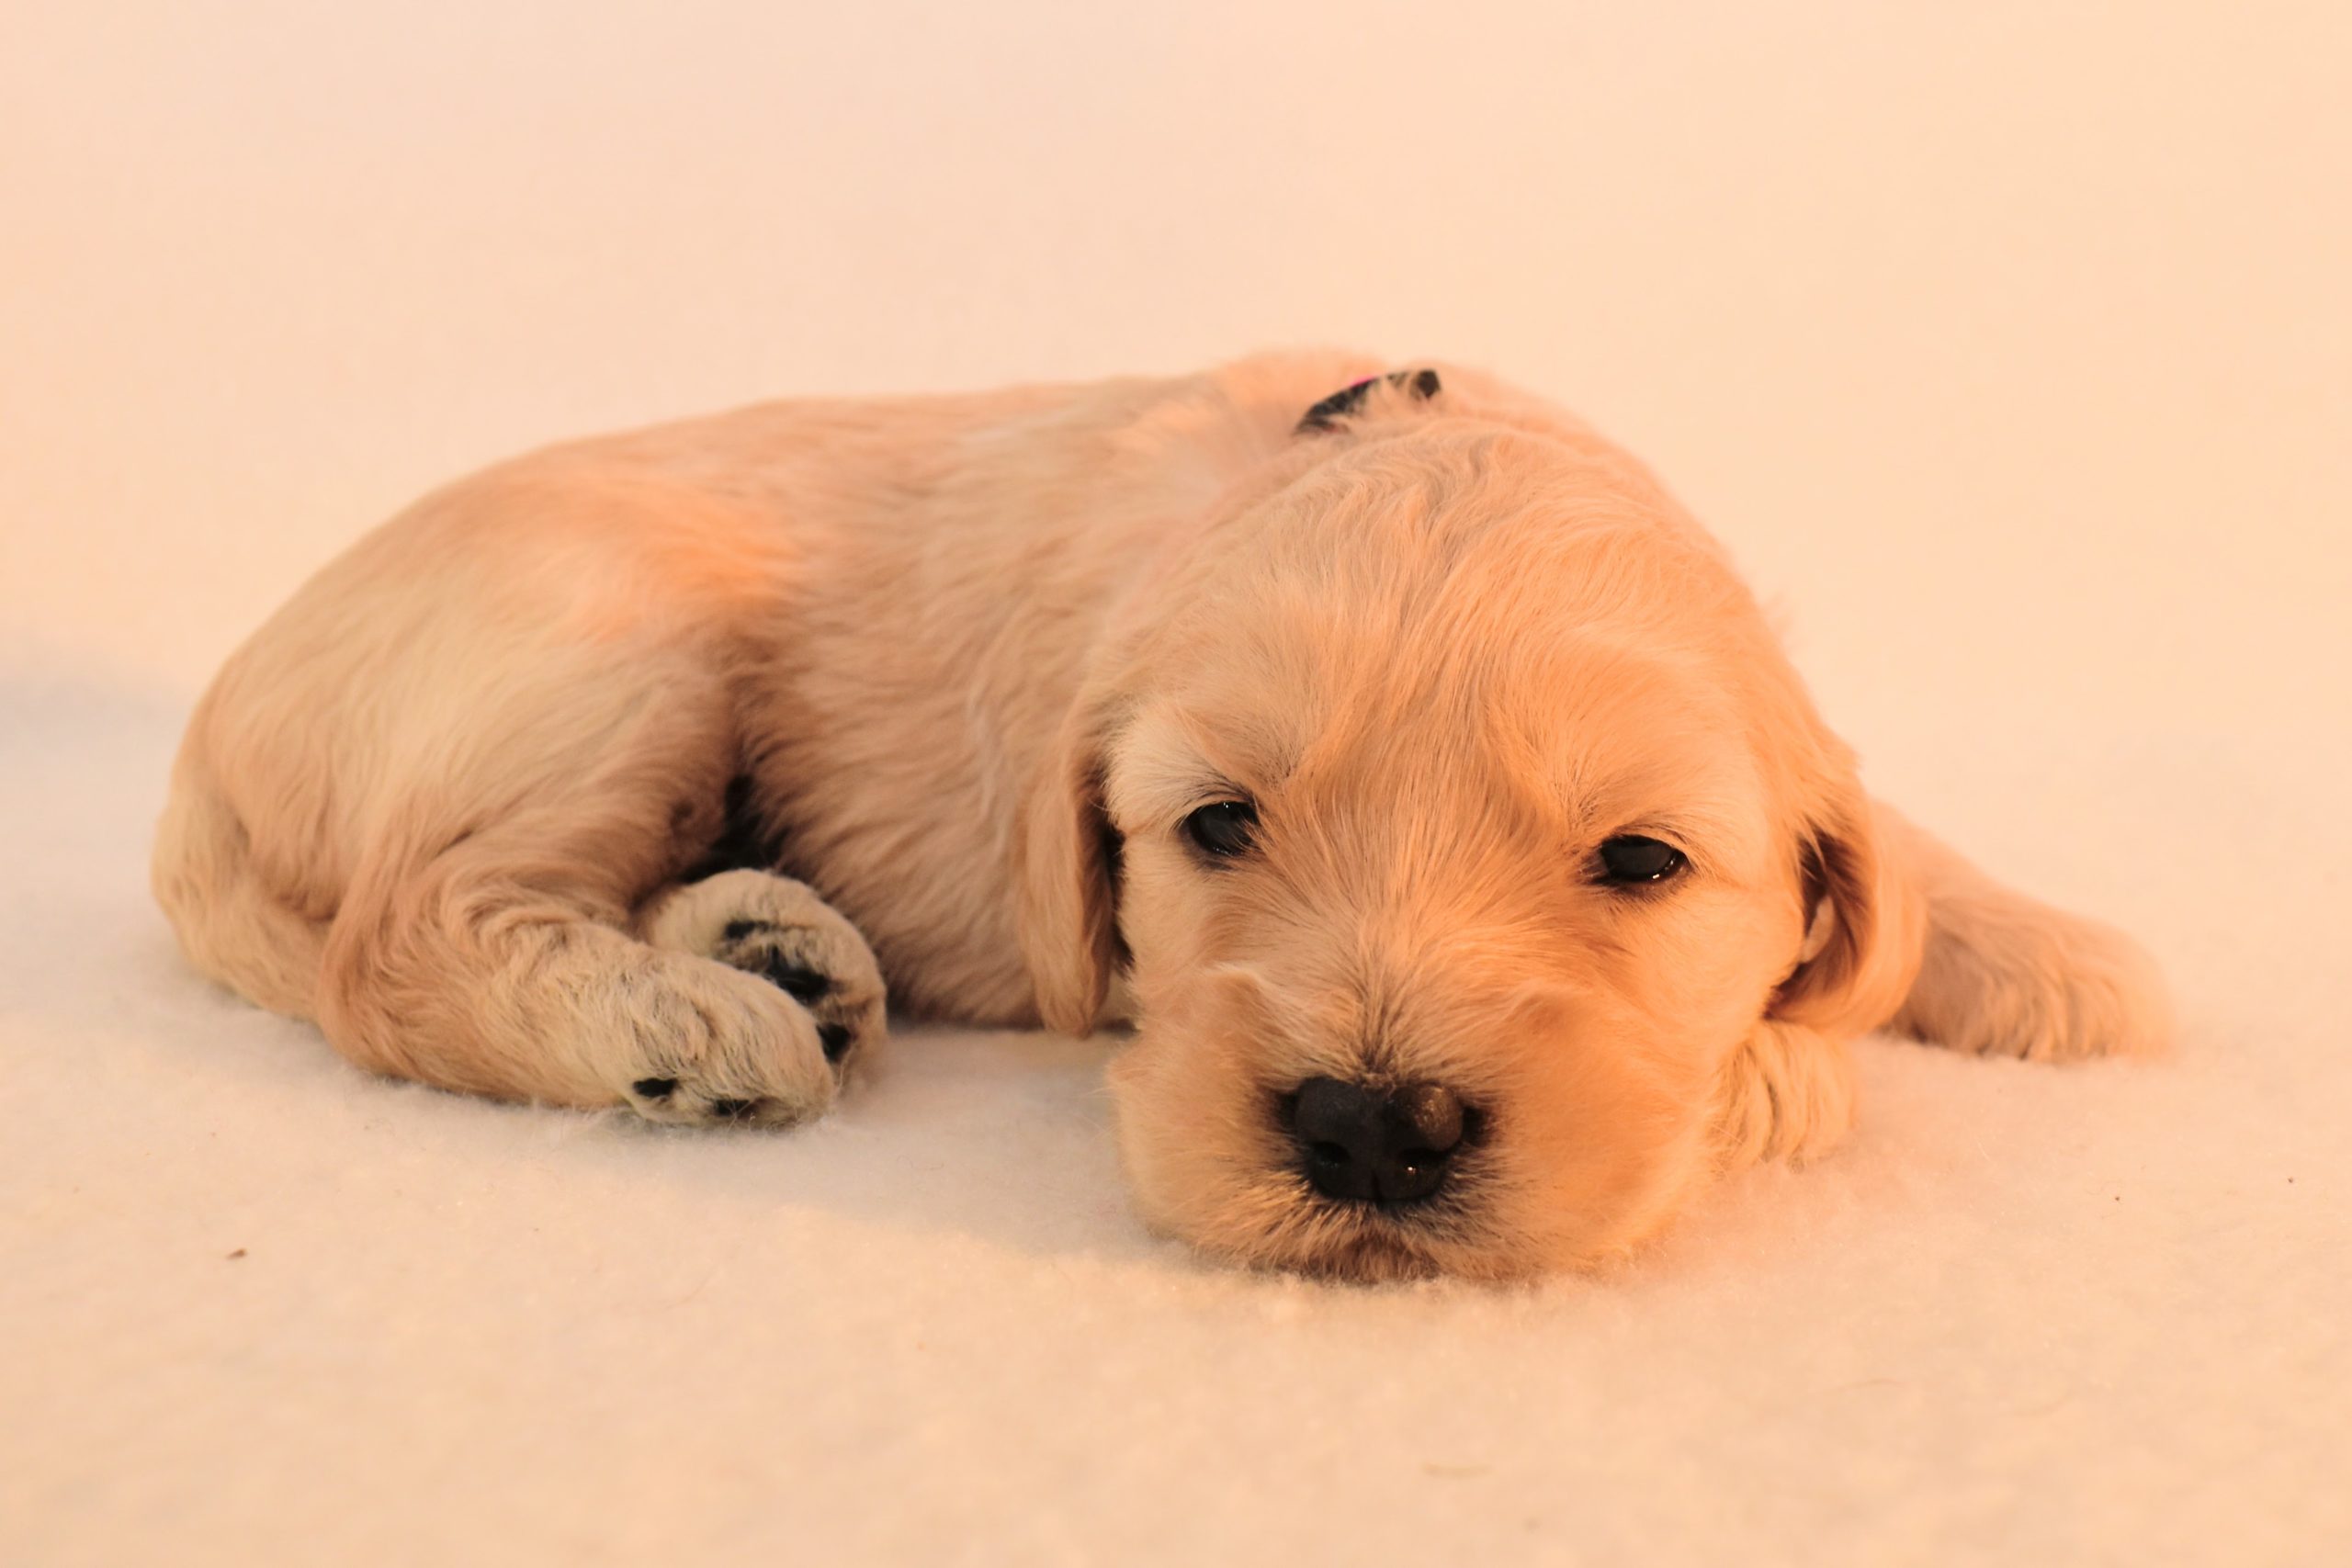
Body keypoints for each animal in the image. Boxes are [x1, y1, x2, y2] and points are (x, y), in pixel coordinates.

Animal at [147, 350, 2164, 1279]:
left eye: (1644, 861)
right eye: (1214, 827)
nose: (1370, 1129)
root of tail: (203, 748)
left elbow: (1890, 844)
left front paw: (2059, 958)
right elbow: (1799, 1064)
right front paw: (1772, 1067)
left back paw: (778, 947)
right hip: (606, 638)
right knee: (401, 932)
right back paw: (685, 1016)